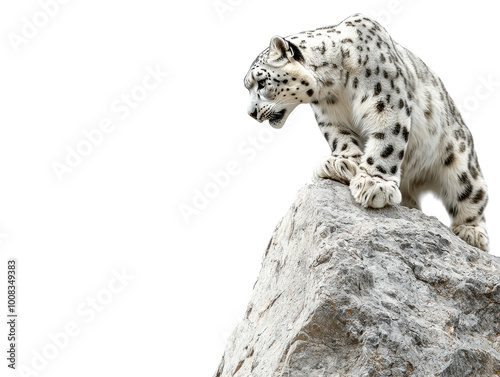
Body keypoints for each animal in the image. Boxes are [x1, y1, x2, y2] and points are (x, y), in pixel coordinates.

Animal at [242, 13, 488, 251]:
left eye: (261, 82)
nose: (251, 113)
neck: (334, 87)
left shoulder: (386, 102)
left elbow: (387, 141)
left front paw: (374, 184)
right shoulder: (330, 117)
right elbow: (340, 138)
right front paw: (340, 163)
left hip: (459, 157)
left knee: (471, 192)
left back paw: (472, 232)